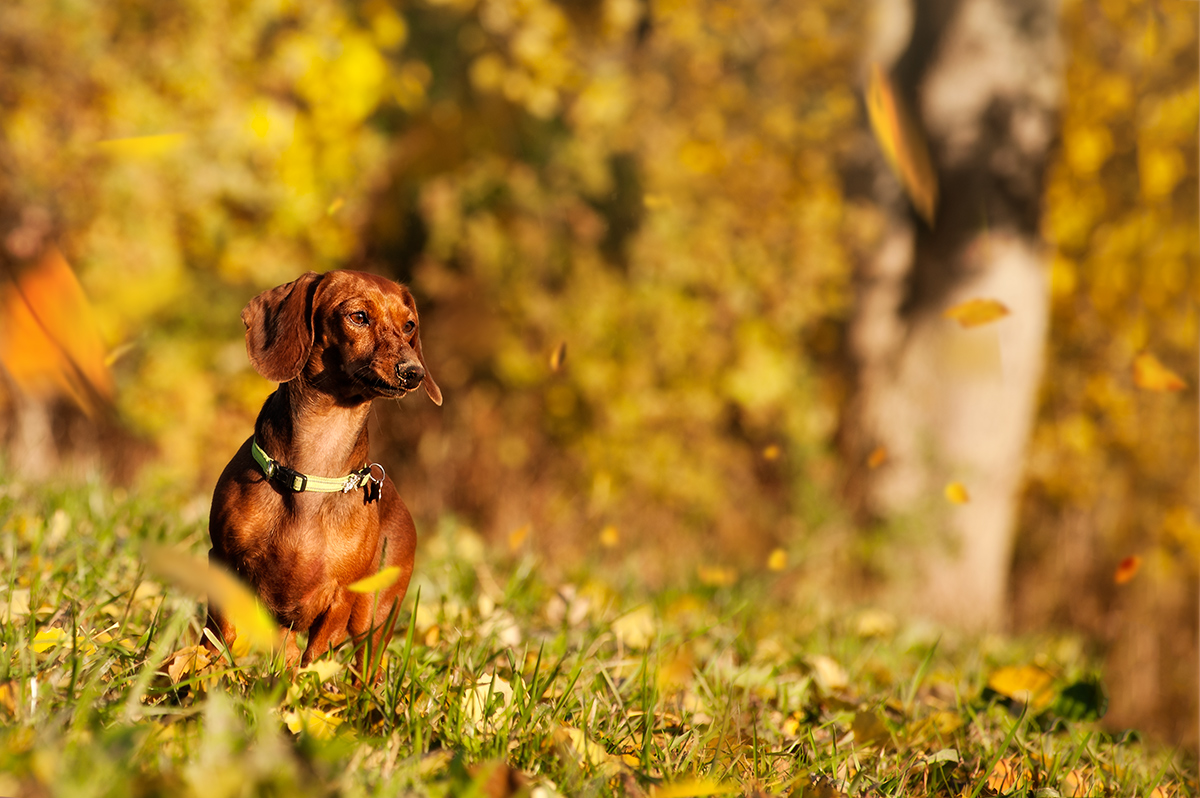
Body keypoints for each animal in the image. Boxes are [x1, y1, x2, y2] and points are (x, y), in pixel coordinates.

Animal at [204, 268, 444, 676]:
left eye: (410, 325)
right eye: (358, 316)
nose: (413, 372)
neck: (312, 474)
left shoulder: (341, 598)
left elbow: (314, 661)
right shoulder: (222, 562)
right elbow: (219, 637)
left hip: (374, 617)